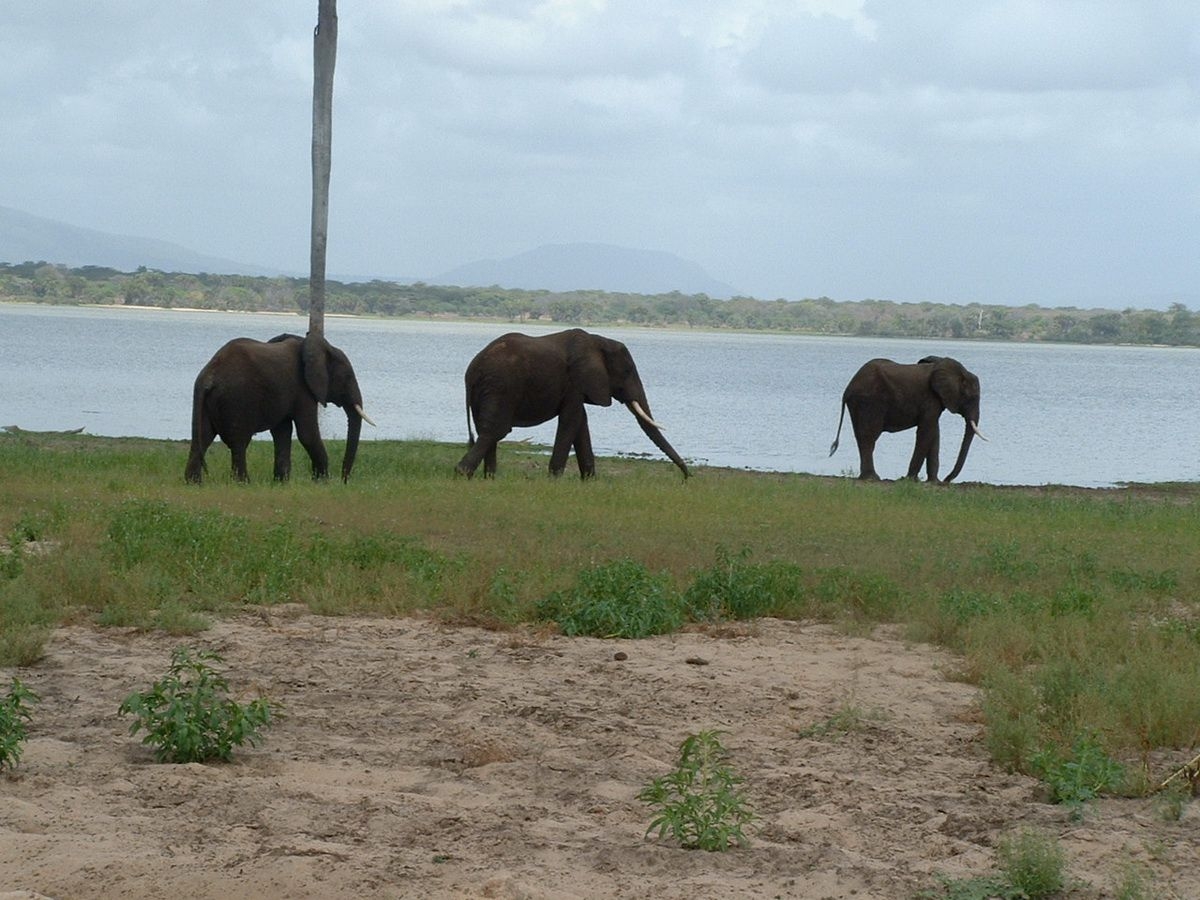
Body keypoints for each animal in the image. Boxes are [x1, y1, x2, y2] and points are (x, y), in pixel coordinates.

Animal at [451, 331, 696, 482]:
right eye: (627, 371)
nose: (686, 479)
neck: (599, 341)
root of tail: (472, 370)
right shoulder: (575, 383)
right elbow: (571, 420)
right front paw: (554, 480)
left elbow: (580, 424)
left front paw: (590, 481)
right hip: (501, 387)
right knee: (495, 431)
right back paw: (463, 474)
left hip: (486, 391)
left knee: (487, 431)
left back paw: (487, 479)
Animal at [825, 355, 984, 487]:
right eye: (972, 397)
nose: (946, 480)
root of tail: (848, 388)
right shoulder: (930, 399)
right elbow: (926, 433)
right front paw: (910, 480)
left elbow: (934, 434)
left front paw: (934, 482)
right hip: (869, 402)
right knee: (869, 437)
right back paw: (873, 478)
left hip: (858, 404)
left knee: (861, 436)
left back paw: (867, 477)